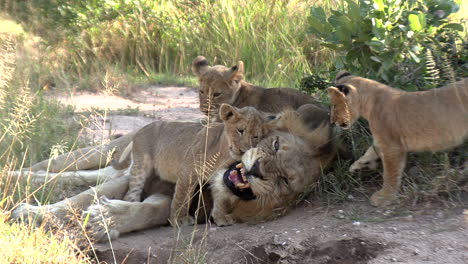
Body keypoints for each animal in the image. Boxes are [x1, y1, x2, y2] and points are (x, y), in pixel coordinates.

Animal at [328, 72, 466, 206]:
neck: (369, 102)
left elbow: (390, 172)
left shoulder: (392, 146)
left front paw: (385, 197)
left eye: (334, 106)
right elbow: (371, 150)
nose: (332, 122)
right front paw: (359, 166)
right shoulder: (383, 140)